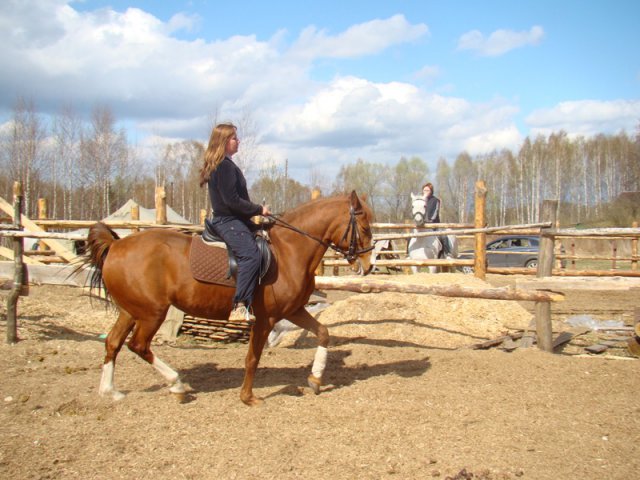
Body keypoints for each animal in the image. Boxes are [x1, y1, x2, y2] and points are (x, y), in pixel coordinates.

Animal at [82, 191, 374, 406]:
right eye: (364, 226)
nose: (368, 266)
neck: (289, 250)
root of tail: (116, 245)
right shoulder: (265, 318)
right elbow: (252, 358)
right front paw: (248, 397)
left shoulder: (293, 310)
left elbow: (323, 332)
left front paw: (315, 379)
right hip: (152, 313)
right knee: (138, 346)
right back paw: (177, 384)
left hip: (132, 310)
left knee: (113, 342)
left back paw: (110, 391)